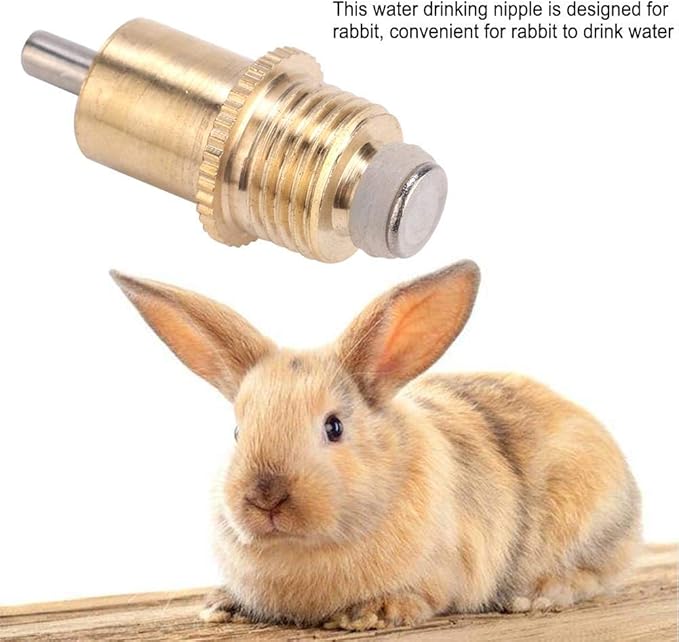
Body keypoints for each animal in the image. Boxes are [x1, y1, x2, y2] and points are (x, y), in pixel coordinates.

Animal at [111, 260, 641, 631]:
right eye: (237, 431)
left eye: (334, 427)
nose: (265, 497)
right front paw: (221, 604)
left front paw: (370, 613)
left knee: (593, 575)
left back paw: (537, 595)